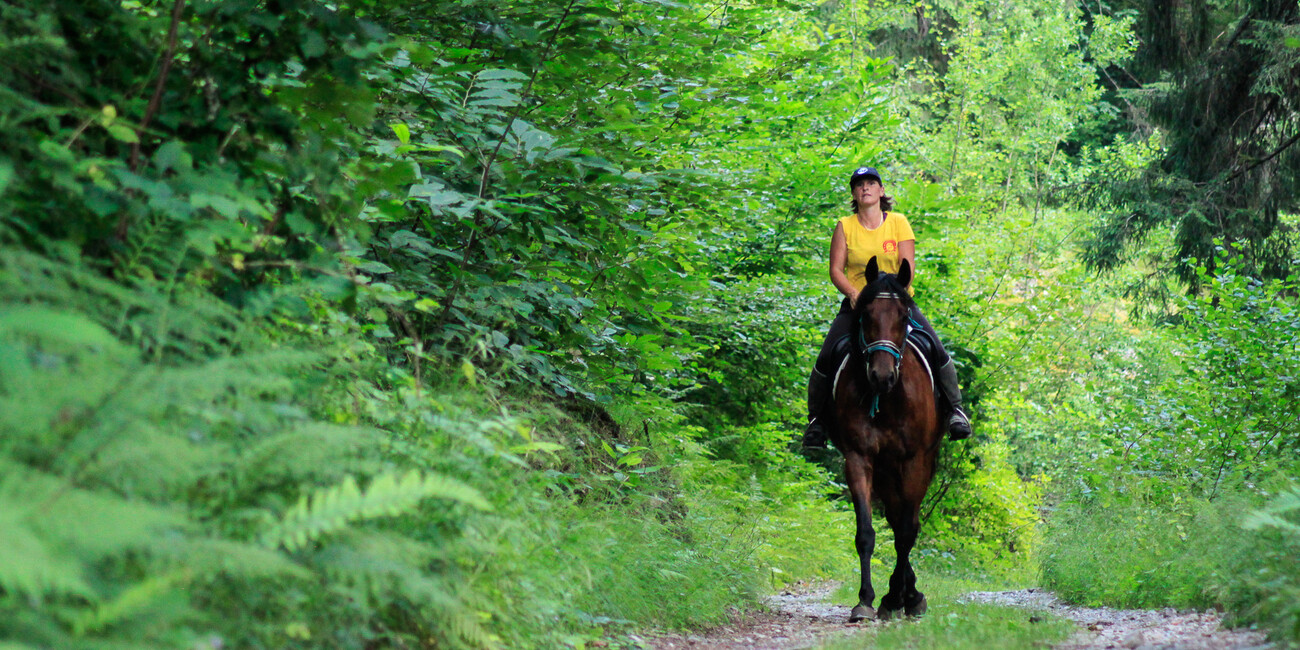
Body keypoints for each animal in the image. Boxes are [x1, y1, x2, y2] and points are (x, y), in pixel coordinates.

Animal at [832, 256, 946, 621]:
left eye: (903, 317)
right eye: (866, 316)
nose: (881, 376)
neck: (889, 399)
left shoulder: (916, 461)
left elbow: (907, 533)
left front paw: (899, 597)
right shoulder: (858, 458)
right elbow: (868, 533)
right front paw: (867, 600)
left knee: (906, 524)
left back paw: (907, 595)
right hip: (884, 470)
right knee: (896, 519)